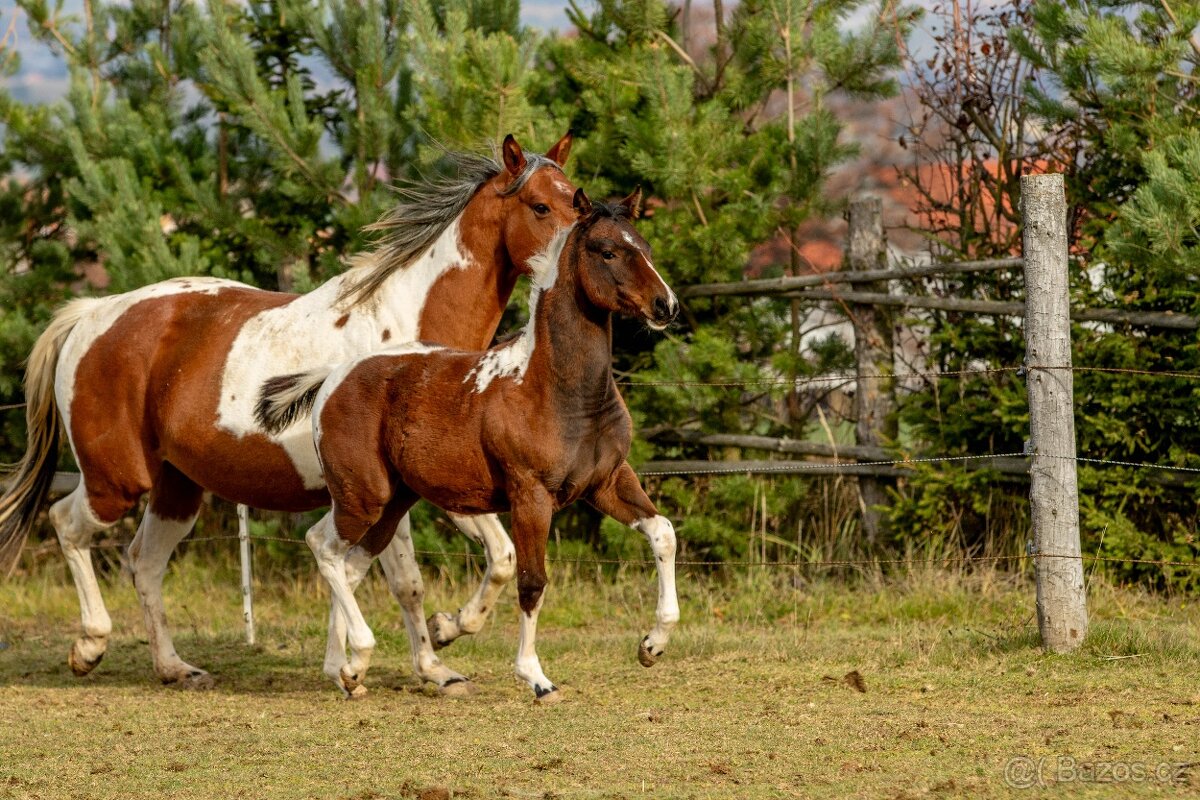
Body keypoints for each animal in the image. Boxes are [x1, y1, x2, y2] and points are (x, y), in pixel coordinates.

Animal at [0, 134, 577, 694]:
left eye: (579, 199)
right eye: (540, 205)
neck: (411, 339)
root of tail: (92, 314)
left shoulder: (438, 486)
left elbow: (493, 559)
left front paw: (414, 648)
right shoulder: (397, 490)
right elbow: (406, 581)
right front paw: (425, 660)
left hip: (177, 489)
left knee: (144, 562)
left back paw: (175, 668)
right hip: (116, 480)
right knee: (67, 524)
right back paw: (89, 647)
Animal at [256, 189, 680, 701]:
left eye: (646, 247)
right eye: (607, 251)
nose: (666, 305)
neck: (554, 389)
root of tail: (334, 377)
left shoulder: (608, 481)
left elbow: (663, 532)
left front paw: (652, 645)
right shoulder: (531, 495)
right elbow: (532, 581)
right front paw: (536, 677)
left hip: (393, 503)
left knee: (351, 563)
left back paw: (350, 671)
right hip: (363, 497)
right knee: (323, 546)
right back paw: (359, 655)